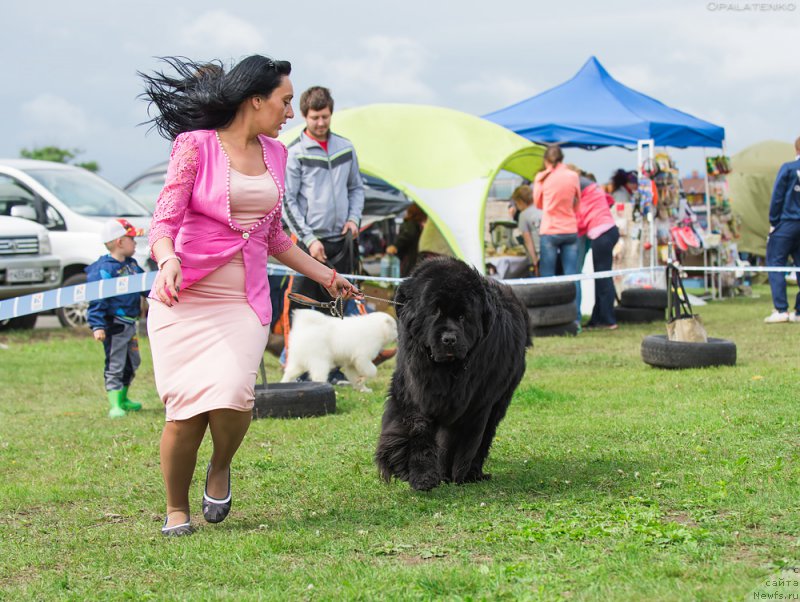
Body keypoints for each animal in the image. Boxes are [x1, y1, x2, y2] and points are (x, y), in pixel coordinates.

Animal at [376, 256, 532, 488]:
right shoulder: (413, 391)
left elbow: (461, 441)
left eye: (462, 316)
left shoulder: (475, 405)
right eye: (434, 311)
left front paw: (450, 474)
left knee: (485, 436)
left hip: (499, 400)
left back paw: (473, 473)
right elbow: (414, 428)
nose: (449, 339)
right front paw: (421, 475)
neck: (445, 371)